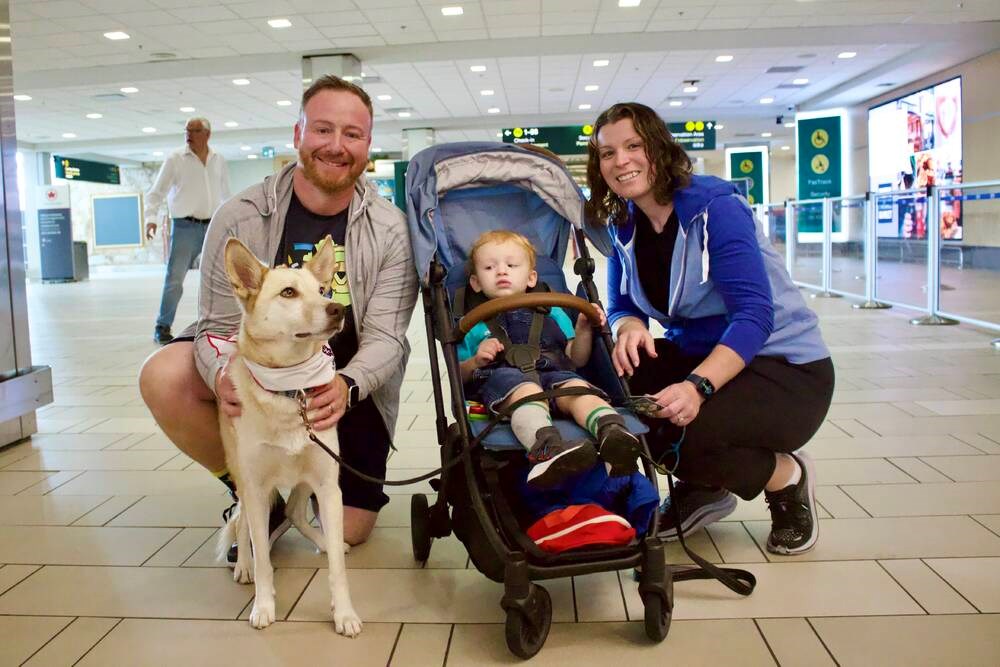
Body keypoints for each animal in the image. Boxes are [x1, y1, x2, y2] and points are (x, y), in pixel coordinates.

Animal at [217, 236, 362, 636]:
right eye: (288, 292)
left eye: (322, 290)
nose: (336, 310)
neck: (290, 391)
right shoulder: (254, 486)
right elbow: (264, 559)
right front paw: (263, 607)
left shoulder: (328, 482)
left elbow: (338, 570)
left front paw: (344, 613)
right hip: (245, 480)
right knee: (242, 524)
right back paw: (243, 565)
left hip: (306, 476)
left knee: (295, 511)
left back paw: (326, 542)